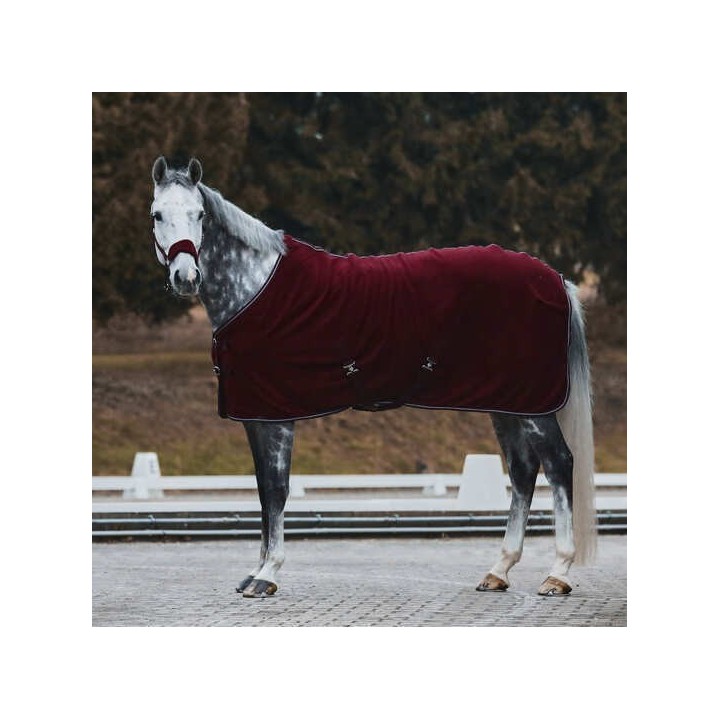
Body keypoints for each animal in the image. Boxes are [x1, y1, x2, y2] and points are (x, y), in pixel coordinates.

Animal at [149, 155, 597, 599]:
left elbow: (276, 490)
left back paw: (557, 573)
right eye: (157, 215)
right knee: (523, 470)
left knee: (558, 464)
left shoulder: (277, 417)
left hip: (534, 406)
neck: (255, 288)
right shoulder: (256, 417)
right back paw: (498, 570)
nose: (185, 277)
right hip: (507, 403)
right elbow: (262, 490)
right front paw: (255, 571)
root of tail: (556, 280)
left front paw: (268, 574)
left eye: (199, 215)